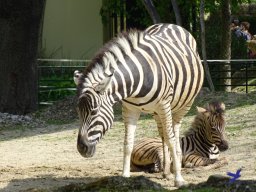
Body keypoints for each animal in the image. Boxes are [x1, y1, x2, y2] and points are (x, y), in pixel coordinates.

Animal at [73, 23, 204, 187]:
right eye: (78, 112)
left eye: (94, 112)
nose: (81, 148)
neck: (135, 84)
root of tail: (170, 24)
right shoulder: (130, 109)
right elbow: (128, 143)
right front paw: (124, 177)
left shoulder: (164, 105)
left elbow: (171, 140)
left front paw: (179, 179)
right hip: (156, 113)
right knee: (162, 135)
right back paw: (166, 171)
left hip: (182, 105)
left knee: (174, 132)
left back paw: (175, 167)